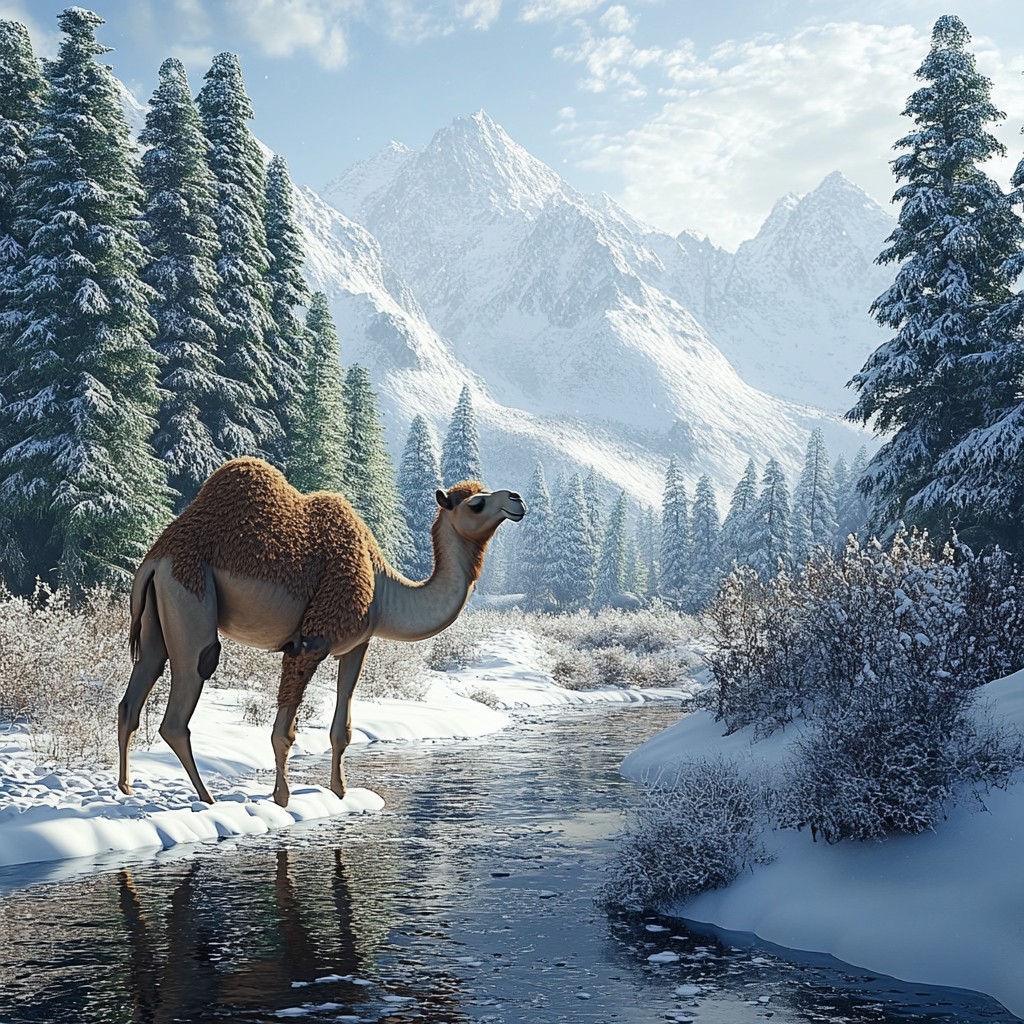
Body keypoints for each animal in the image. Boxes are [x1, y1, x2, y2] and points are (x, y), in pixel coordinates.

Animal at [116, 457, 526, 807]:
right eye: (475, 504)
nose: (517, 499)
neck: (383, 589)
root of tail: (155, 560)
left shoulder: (358, 645)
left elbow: (342, 730)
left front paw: (341, 793)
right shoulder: (311, 639)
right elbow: (284, 732)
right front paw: (282, 799)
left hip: (157, 618)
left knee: (134, 693)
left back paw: (126, 789)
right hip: (191, 597)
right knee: (182, 704)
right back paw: (207, 799)